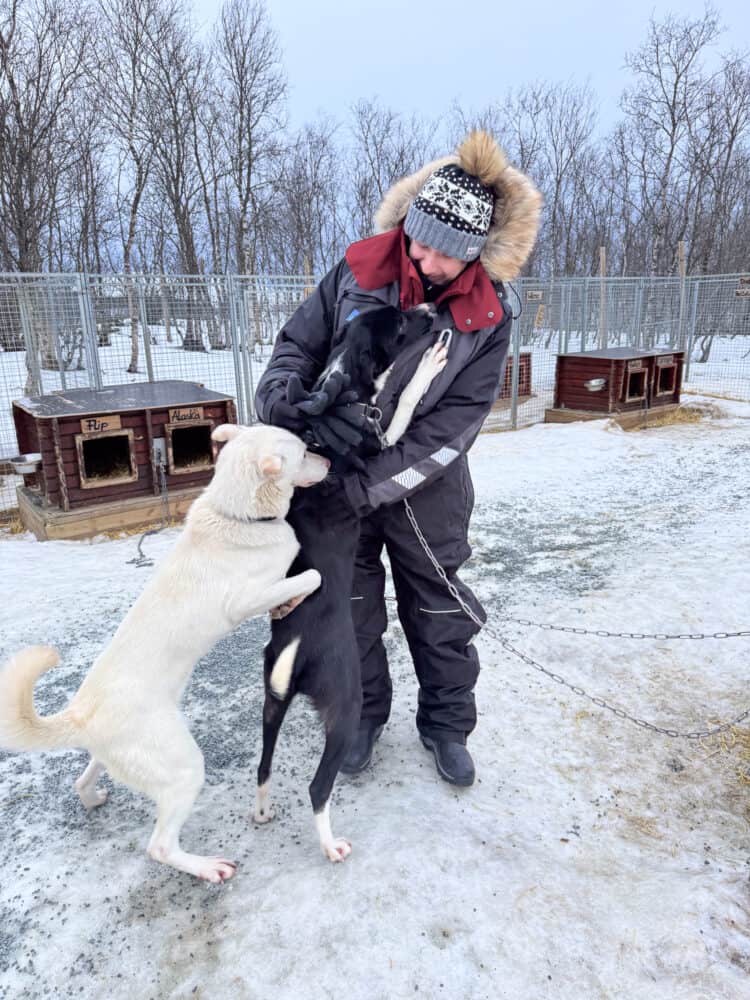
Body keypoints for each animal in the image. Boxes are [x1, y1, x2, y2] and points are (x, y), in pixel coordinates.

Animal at [0, 422, 328, 884]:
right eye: (302, 453)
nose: (330, 460)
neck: (239, 516)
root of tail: (80, 714)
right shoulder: (243, 601)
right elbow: (309, 576)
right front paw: (290, 600)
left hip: (121, 757)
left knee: (85, 779)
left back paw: (92, 798)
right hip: (183, 768)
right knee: (160, 846)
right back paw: (207, 867)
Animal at [256, 302, 450, 860]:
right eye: (402, 323)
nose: (432, 307)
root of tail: (295, 645)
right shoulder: (384, 438)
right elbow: (400, 403)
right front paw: (428, 365)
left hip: (271, 706)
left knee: (263, 765)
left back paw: (262, 810)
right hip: (344, 708)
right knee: (317, 786)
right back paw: (331, 844)